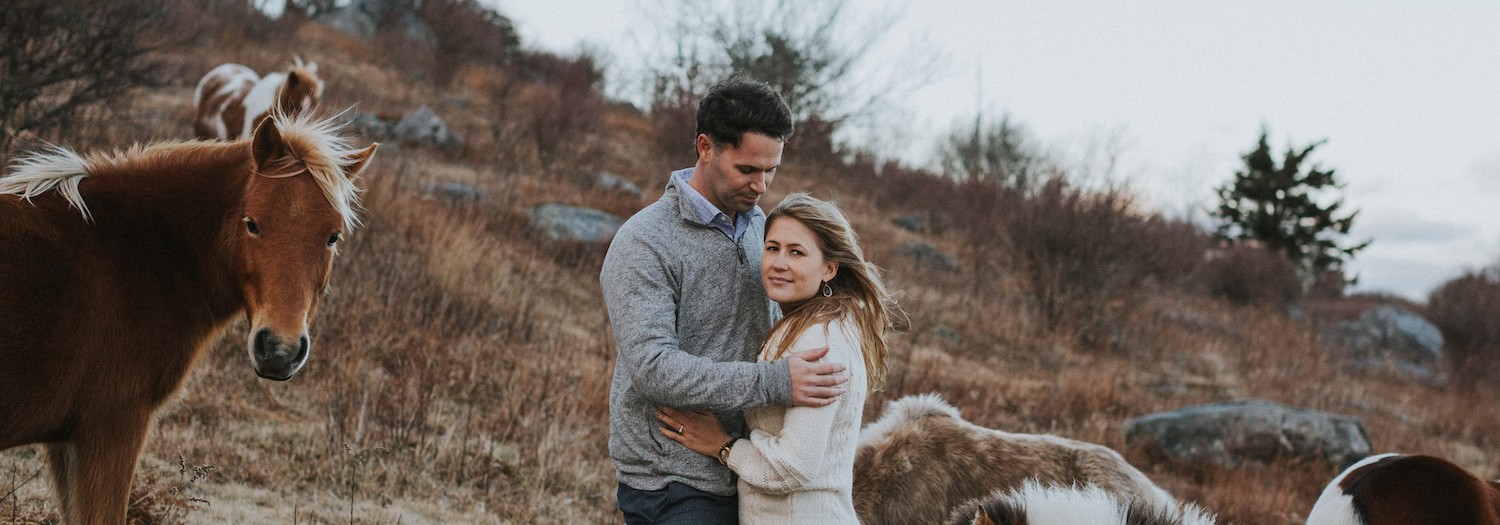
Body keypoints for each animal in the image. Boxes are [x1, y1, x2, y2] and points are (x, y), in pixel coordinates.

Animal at [0, 112, 375, 522]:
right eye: (252, 224)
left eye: (333, 237)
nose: (279, 351)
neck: (133, 247)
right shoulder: (110, 429)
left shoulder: (65, 442)